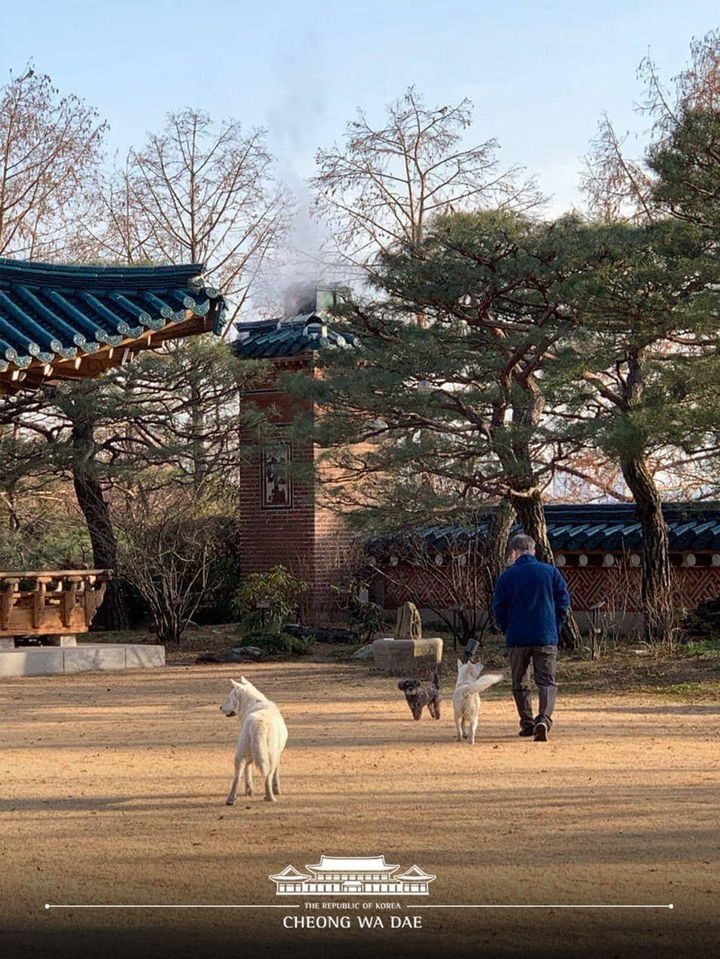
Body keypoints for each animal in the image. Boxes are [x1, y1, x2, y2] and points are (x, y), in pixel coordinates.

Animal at [219, 680, 286, 808]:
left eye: (229, 698)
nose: (219, 707)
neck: (255, 702)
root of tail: (257, 724)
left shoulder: (250, 756)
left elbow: (247, 771)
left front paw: (249, 791)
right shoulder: (278, 754)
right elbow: (276, 774)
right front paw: (277, 790)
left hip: (240, 755)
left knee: (236, 777)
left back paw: (231, 800)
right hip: (270, 756)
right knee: (267, 777)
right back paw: (270, 797)